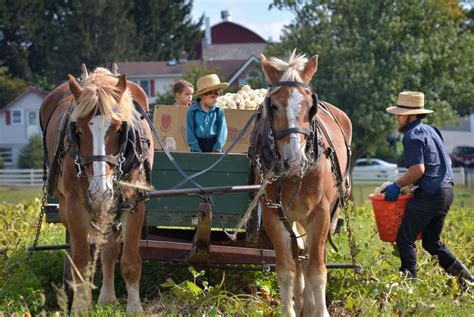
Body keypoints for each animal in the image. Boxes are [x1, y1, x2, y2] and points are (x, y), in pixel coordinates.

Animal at [40, 66, 154, 312]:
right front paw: (81, 307)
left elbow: (129, 260)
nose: (100, 190)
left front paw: (134, 308)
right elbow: (81, 260)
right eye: (79, 131)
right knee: (76, 250)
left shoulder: (133, 202)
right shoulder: (74, 204)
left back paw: (107, 297)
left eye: (120, 129)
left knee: (109, 249)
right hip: (69, 205)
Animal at [250, 52, 350, 316]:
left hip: (331, 213)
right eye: (273, 105)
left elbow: (317, 269)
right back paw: (301, 299)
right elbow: (286, 269)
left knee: (311, 254)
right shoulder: (273, 214)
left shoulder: (321, 213)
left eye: (310, 107)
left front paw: (320, 311)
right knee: (299, 254)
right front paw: (291, 308)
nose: (294, 160)